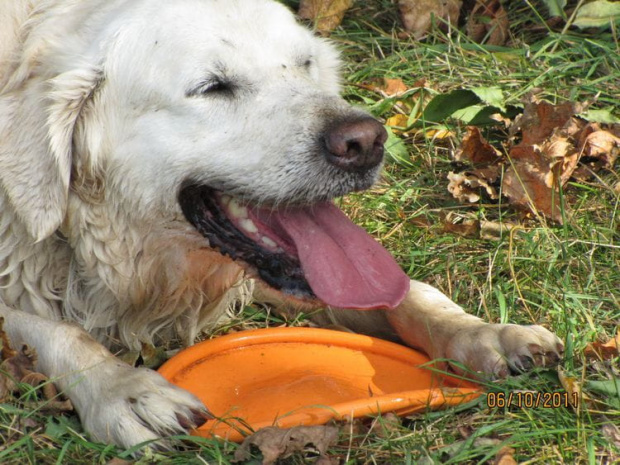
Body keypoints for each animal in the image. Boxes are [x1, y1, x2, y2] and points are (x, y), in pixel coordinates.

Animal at [0, 0, 560, 448]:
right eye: (213, 87)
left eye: (305, 63)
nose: (364, 141)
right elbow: (57, 330)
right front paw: (124, 390)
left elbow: (407, 293)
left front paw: (486, 333)